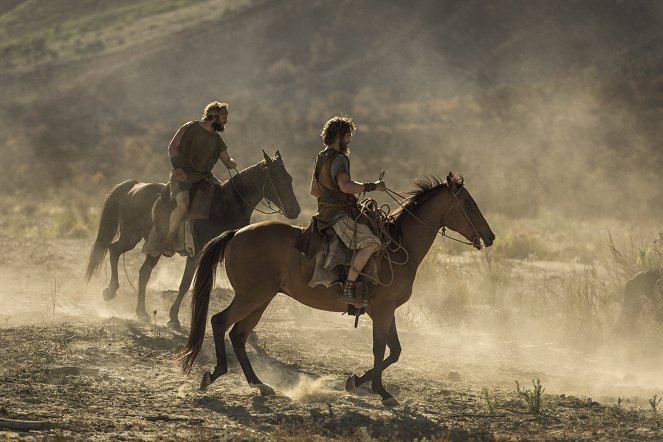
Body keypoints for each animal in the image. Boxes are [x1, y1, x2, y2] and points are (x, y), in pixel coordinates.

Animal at [84, 151, 300, 328]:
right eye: (276, 178)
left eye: (290, 178)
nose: (295, 210)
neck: (224, 206)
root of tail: (135, 186)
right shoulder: (196, 254)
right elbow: (185, 284)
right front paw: (173, 318)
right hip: (131, 236)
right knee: (114, 250)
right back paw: (110, 291)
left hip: (153, 247)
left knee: (143, 272)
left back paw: (142, 312)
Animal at [179, 172, 496, 404]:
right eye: (469, 205)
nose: (490, 236)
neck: (398, 246)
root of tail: (235, 234)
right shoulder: (382, 311)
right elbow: (380, 349)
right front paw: (382, 392)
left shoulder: (386, 310)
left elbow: (394, 351)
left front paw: (355, 381)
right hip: (251, 297)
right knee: (220, 322)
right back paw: (216, 374)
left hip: (261, 300)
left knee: (238, 334)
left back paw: (259, 384)